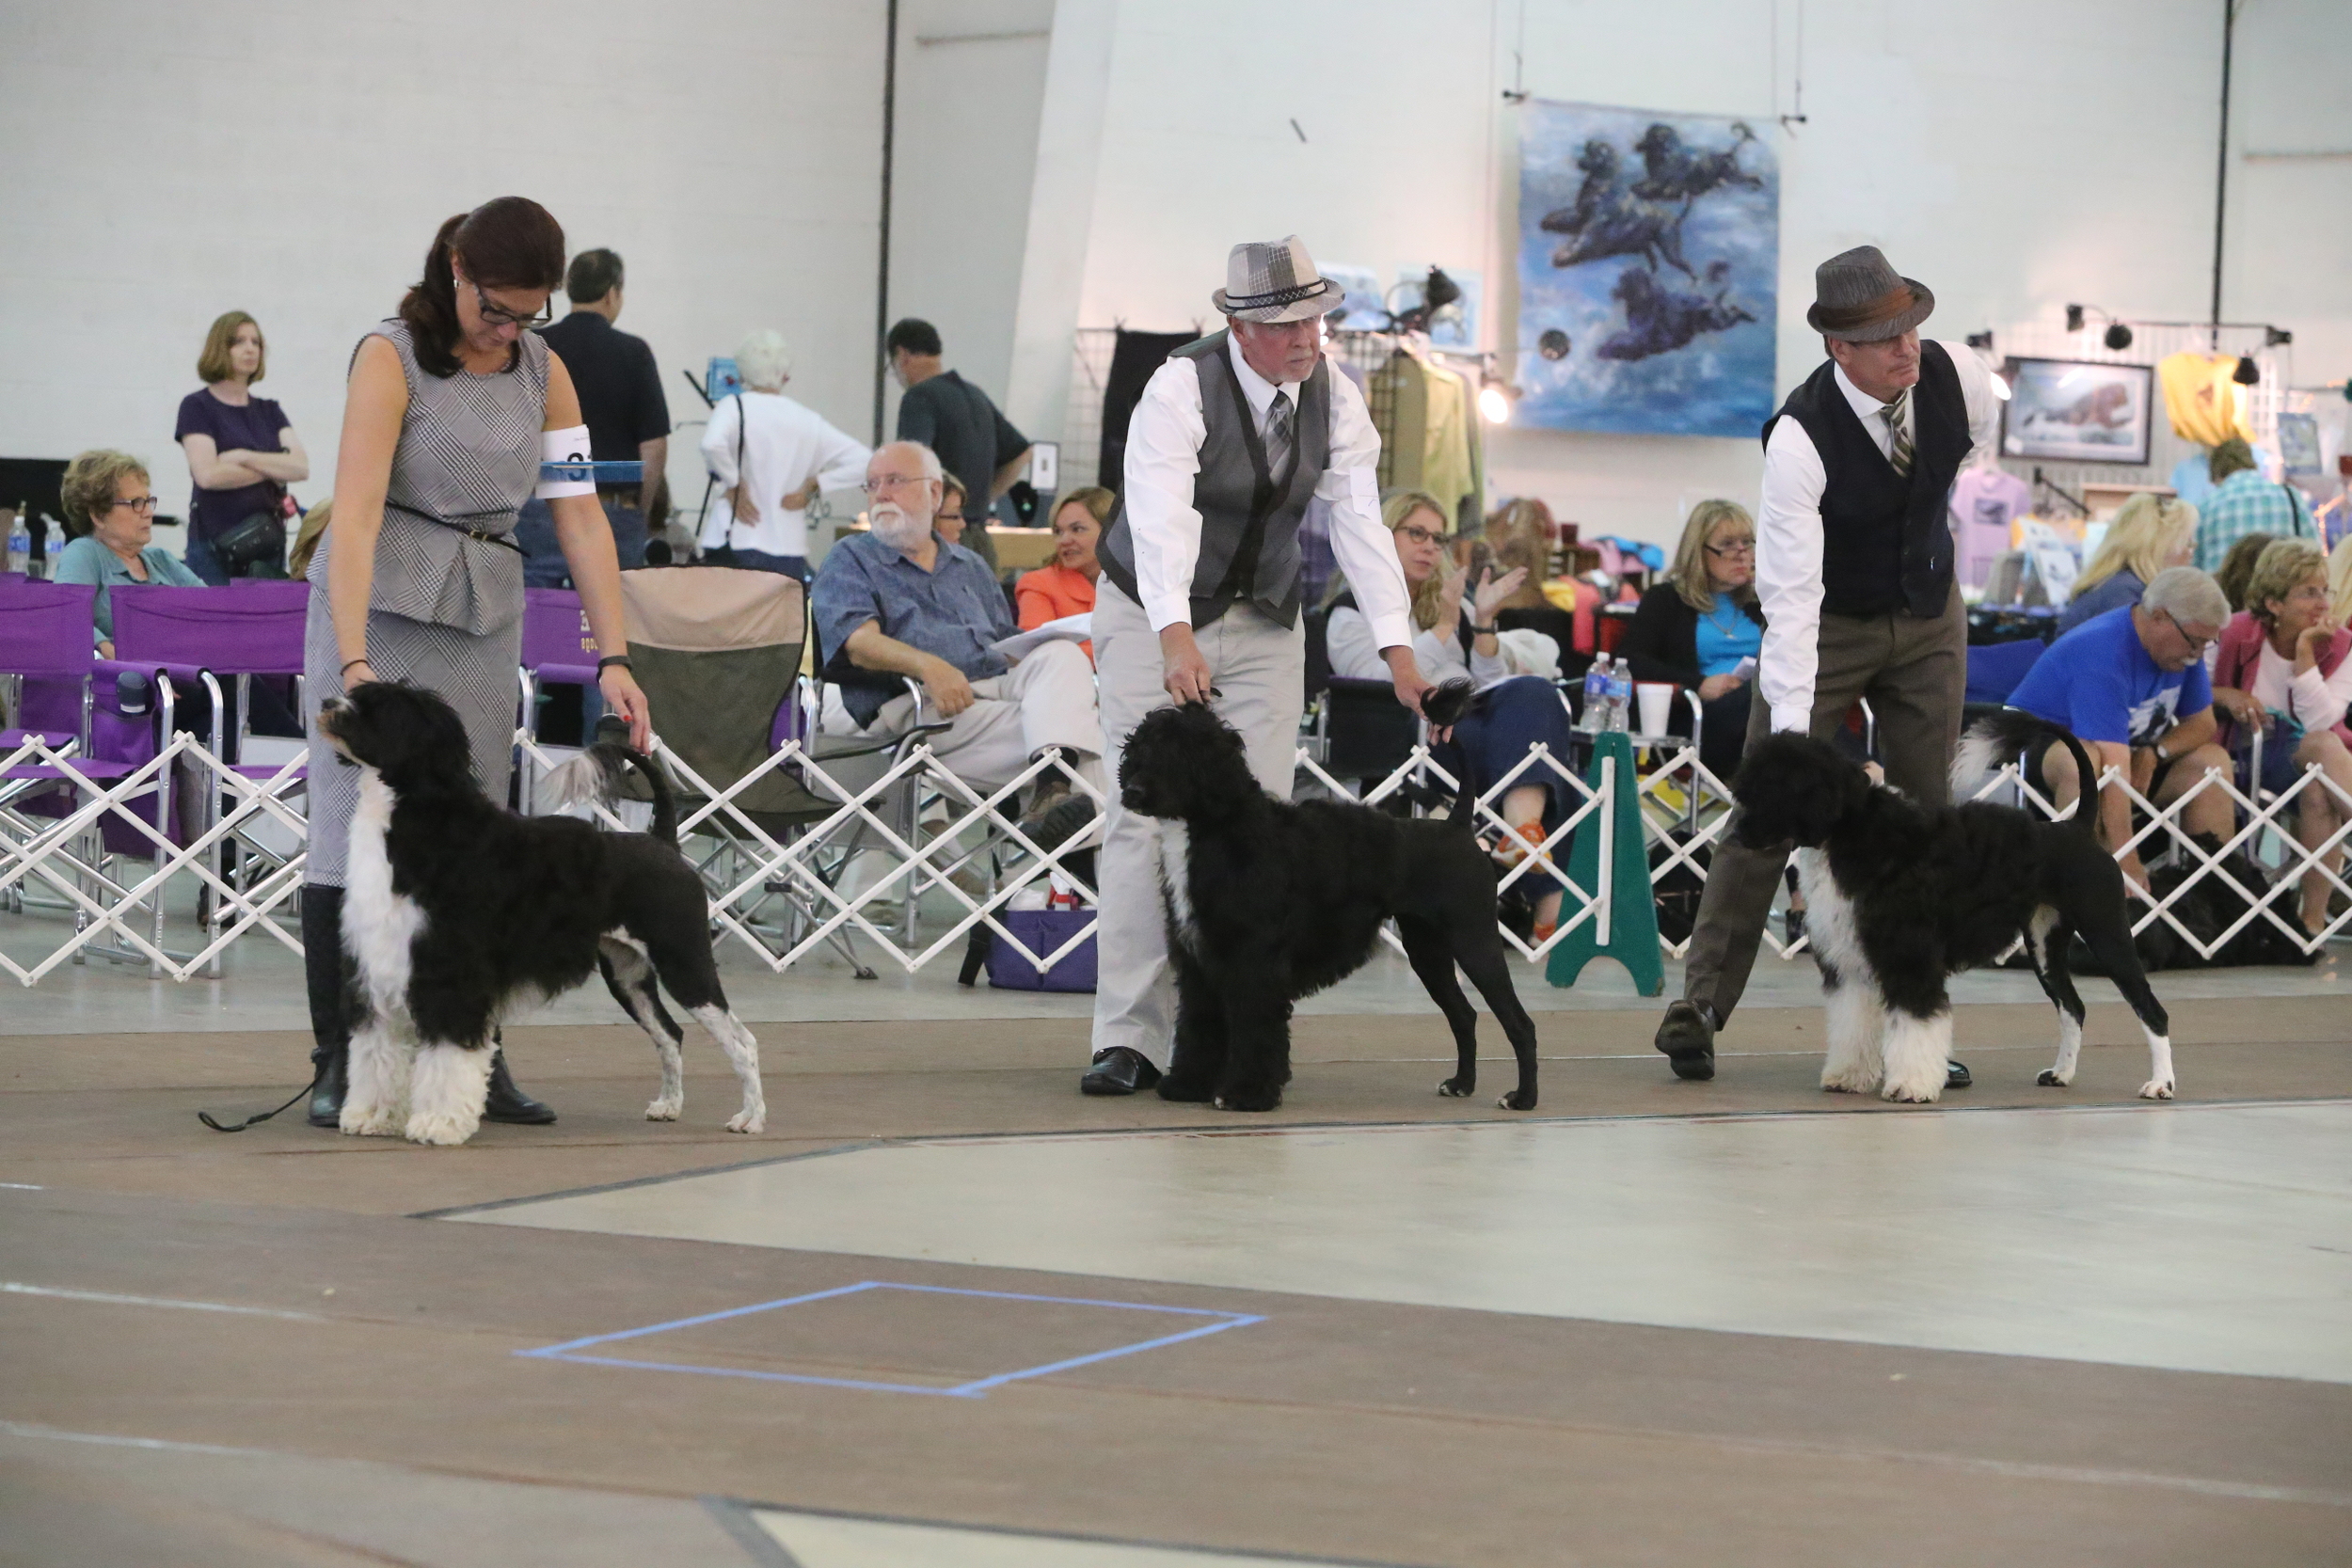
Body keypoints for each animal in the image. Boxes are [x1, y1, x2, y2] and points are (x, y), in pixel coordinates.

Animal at [312, 681, 767, 1147]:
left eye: (377, 708)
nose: (327, 704)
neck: (423, 826)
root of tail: (664, 842)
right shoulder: (378, 969)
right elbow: (377, 1052)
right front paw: (372, 1116)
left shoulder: (451, 975)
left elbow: (447, 1057)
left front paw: (439, 1124)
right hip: (627, 976)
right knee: (670, 1035)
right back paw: (668, 1106)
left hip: (684, 961)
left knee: (742, 1041)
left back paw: (749, 1119)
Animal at [1115, 700, 1543, 1114]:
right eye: (1141, 748)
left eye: (1180, 752)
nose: (1132, 790)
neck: (1222, 827)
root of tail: (1456, 825)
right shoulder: (1200, 963)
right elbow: (1199, 1025)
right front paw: (1189, 1085)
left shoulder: (1253, 962)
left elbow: (1254, 1029)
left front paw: (1246, 1095)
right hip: (1428, 951)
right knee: (1464, 1016)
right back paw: (1461, 1085)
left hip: (1475, 941)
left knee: (1519, 1024)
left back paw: (1522, 1098)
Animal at [1740, 709, 2173, 1104]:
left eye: (1771, 788)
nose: (1739, 833)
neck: (1851, 831)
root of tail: (2077, 827)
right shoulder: (1851, 960)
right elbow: (1853, 1022)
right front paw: (1849, 1076)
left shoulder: (1909, 957)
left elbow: (1914, 1025)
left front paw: (1911, 1086)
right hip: (2044, 944)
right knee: (2073, 1008)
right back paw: (2061, 1074)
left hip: (2107, 933)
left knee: (2151, 1010)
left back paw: (2160, 1085)